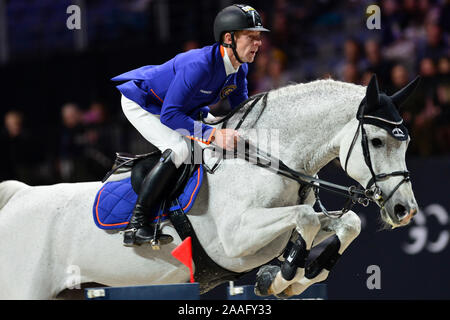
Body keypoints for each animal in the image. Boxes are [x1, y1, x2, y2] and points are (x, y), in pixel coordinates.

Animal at [0, 75, 418, 300]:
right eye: (377, 141)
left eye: (407, 142)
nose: (405, 210)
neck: (269, 157)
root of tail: (19, 195)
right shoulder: (236, 239)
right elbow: (306, 219)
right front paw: (284, 276)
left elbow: (346, 224)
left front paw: (297, 276)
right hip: (24, 288)